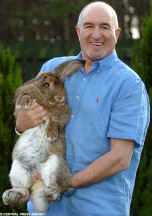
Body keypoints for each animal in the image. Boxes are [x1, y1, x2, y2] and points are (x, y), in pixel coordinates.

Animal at [2, 58, 85, 213]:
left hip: (55, 165)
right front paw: (24, 102)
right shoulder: (24, 94)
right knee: (25, 192)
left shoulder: (63, 114)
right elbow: (24, 95)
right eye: (47, 84)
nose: (60, 97)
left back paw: (50, 193)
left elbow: (54, 120)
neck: (45, 101)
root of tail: (37, 181)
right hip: (17, 169)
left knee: (60, 189)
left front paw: (51, 135)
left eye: (62, 85)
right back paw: (10, 196)